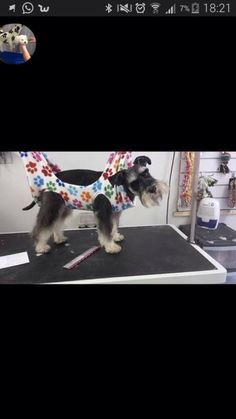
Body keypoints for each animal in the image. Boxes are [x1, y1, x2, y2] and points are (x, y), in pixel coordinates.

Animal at [23, 154, 168, 254]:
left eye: (146, 173)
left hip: (64, 208)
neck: (120, 186)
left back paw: (59, 238)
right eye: (135, 183)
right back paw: (41, 246)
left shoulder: (114, 213)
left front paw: (115, 237)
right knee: (42, 227)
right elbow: (106, 230)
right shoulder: (103, 213)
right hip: (52, 208)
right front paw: (111, 246)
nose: (153, 189)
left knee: (57, 224)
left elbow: (114, 226)